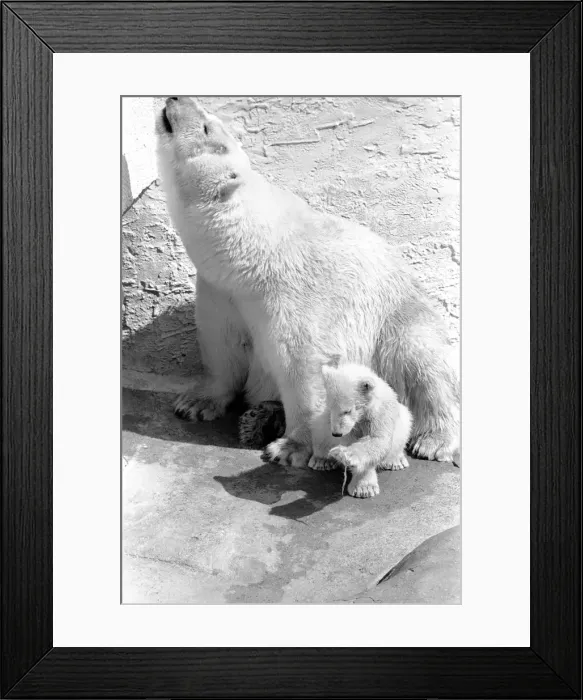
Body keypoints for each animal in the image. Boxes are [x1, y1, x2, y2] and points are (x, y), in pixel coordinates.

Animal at [156, 96, 459, 467]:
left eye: (206, 127)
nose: (176, 99)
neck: (251, 253)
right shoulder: (220, 293)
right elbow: (221, 345)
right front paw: (195, 403)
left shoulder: (289, 293)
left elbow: (303, 365)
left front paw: (290, 447)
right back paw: (261, 415)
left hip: (400, 320)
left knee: (422, 362)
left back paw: (433, 440)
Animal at [308, 356, 413, 498]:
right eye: (331, 408)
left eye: (347, 411)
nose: (336, 433)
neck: (362, 415)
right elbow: (349, 439)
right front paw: (364, 487)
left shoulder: (380, 413)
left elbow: (377, 440)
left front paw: (347, 456)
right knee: (318, 427)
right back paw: (321, 461)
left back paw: (396, 461)